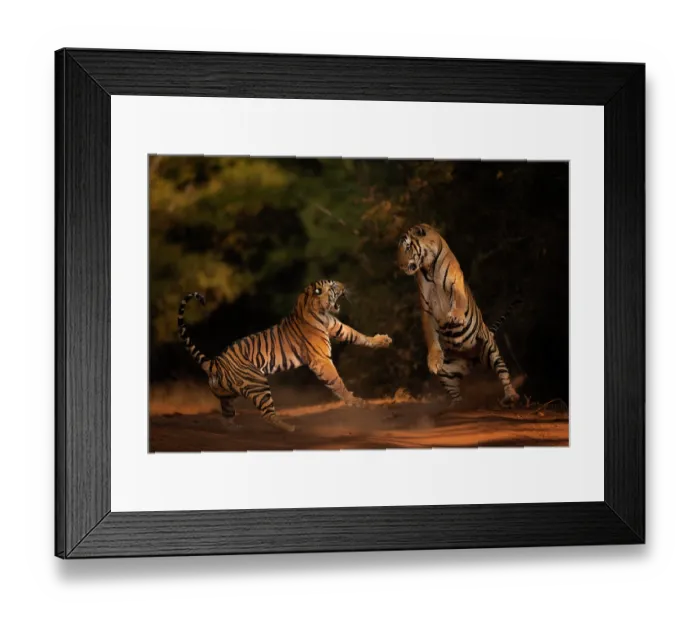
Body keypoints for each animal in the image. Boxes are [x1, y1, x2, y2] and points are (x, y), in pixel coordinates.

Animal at [178, 280, 393, 432]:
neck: (320, 312)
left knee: (226, 414)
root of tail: (214, 363)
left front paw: (383, 340)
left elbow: (358, 336)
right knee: (267, 414)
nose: (344, 286)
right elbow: (337, 381)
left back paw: (235, 428)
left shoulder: (338, 327)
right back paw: (290, 428)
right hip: (258, 383)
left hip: (228, 395)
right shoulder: (321, 359)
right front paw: (355, 401)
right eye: (332, 286)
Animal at [397, 224, 519, 407]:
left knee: (503, 373)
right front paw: (433, 361)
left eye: (407, 247)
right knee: (455, 392)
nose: (399, 265)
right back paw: (457, 405)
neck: (429, 269)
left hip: (491, 350)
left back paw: (511, 396)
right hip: (447, 374)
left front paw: (455, 316)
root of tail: (472, 359)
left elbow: (459, 301)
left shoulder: (456, 284)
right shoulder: (426, 309)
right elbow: (430, 336)